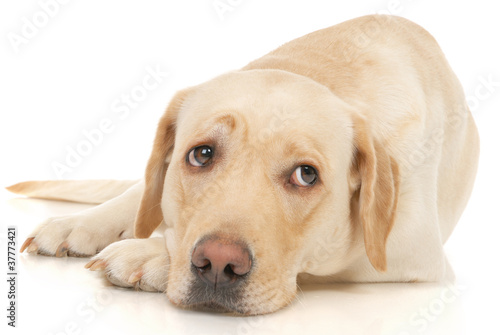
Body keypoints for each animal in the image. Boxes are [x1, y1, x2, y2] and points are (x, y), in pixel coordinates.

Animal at [7, 15, 478, 316]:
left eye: (306, 175)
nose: (218, 265)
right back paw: (79, 224)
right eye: (202, 154)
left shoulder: (412, 253)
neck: (317, 72)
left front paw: (152, 254)